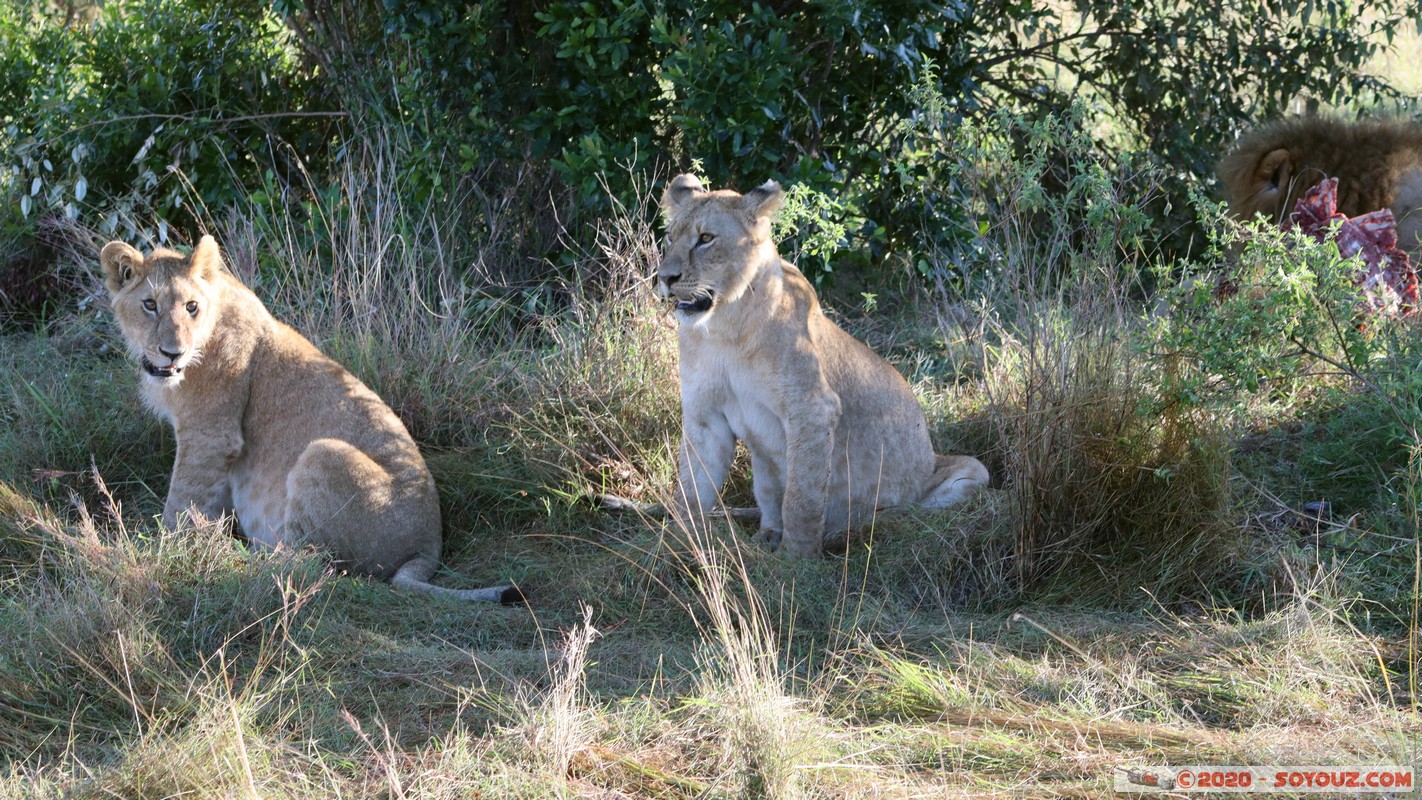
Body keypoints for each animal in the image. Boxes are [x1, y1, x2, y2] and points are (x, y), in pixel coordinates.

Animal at [101, 234, 523, 605]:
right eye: (150, 305)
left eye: (191, 306)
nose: (173, 352)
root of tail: (428, 546)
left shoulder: (211, 435)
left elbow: (180, 502)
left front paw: (158, 552)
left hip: (324, 453)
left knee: (308, 565)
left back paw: (239, 559)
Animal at [628, 174, 995, 557]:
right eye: (670, 237)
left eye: (705, 239)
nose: (665, 277)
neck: (725, 329)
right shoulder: (705, 415)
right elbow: (692, 486)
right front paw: (679, 542)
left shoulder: (813, 409)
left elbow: (802, 495)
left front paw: (796, 557)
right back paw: (769, 534)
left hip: (972, 471)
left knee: (907, 509)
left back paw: (860, 525)